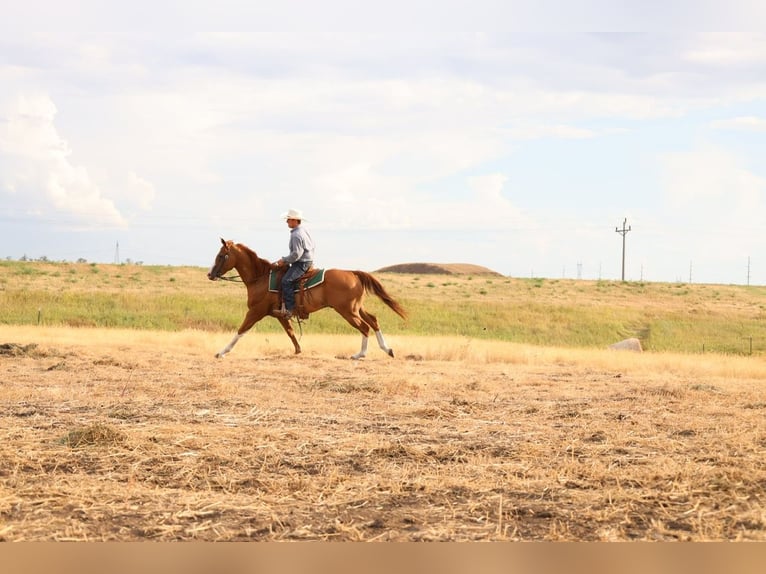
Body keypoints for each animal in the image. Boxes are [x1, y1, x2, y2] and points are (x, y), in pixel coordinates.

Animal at [207, 239, 407, 359]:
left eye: (221, 255)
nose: (210, 274)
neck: (260, 278)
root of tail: (353, 273)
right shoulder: (280, 314)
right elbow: (290, 332)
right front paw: (298, 350)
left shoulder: (255, 311)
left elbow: (241, 330)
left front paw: (221, 352)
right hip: (357, 308)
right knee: (373, 321)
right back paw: (387, 349)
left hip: (348, 311)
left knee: (364, 327)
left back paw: (360, 354)